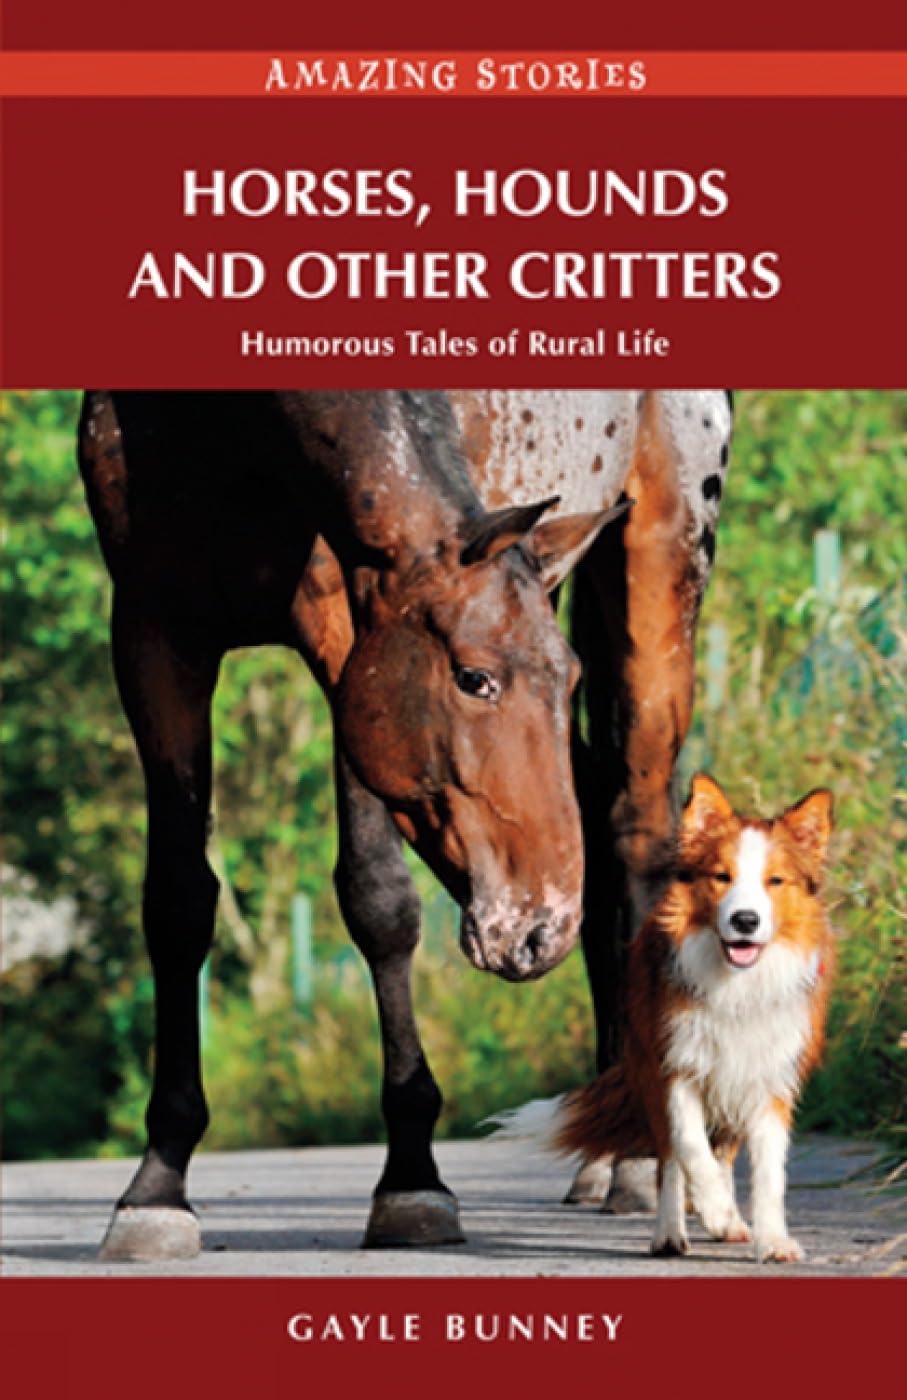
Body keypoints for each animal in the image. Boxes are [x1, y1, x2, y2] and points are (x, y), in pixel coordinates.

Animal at [79, 388, 730, 1259]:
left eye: (559, 679)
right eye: (473, 678)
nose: (535, 930)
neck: (231, 425)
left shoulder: (345, 632)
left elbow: (378, 900)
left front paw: (412, 1181)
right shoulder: (155, 634)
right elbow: (179, 904)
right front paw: (157, 1186)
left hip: (661, 575)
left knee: (633, 834)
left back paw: (632, 1160)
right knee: (594, 821)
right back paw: (601, 1150)